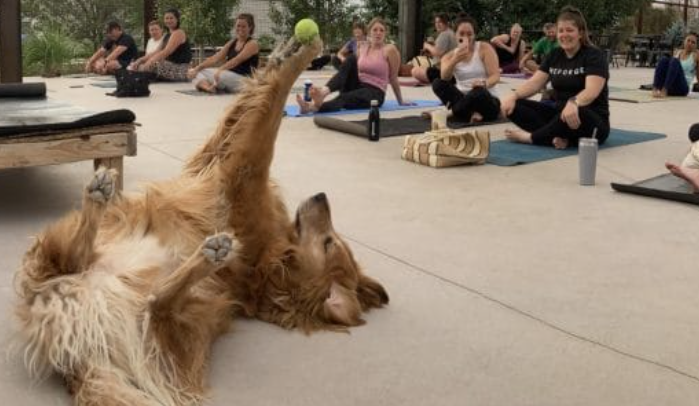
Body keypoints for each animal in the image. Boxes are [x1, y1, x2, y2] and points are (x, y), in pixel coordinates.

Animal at [15, 38, 388, 406]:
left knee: (154, 304)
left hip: (190, 320)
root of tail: (80, 360)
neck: (269, 259)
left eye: (329, 242)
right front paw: (287, 54)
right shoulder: (213, 166)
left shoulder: (237, 175)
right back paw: (103, 197)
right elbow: (249, 116)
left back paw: (207, 256)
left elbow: (263, 126)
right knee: (78, 259)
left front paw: (295, 58)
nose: (323, 196)